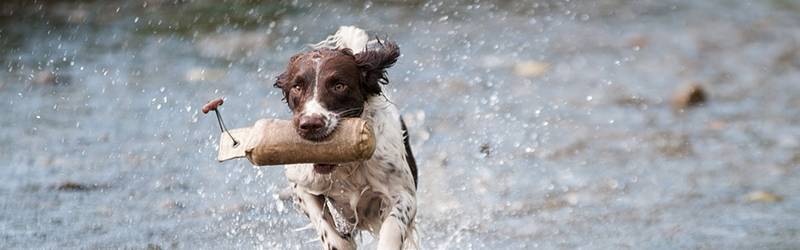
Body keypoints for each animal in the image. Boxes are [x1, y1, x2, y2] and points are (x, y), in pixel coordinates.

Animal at [274, 26, 418, 249]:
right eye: (297, 87)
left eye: (338, 86)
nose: (310, 124)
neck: (346, 166)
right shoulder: (300, 183)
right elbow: (324, 224)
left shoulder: (404, 193)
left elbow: (393, 224)